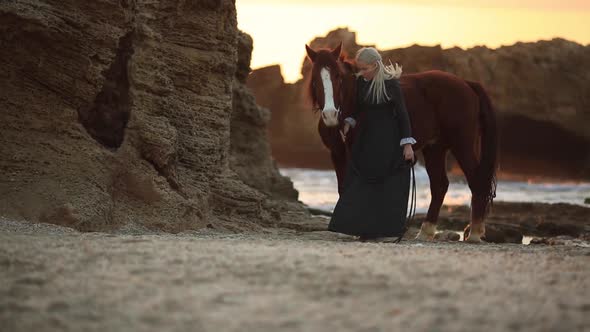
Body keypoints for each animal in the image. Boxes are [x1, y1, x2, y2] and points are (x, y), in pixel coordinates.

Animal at [308, 42, 498, 243]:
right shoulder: (337, 152)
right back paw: (425, 232)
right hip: (435, 148)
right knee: (439, 185)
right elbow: (342, 186)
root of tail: (466, 84)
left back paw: (474, 233)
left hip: (462, 145)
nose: (330, 115)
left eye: (338, 76)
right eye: (315, 78)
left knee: (477, 180)